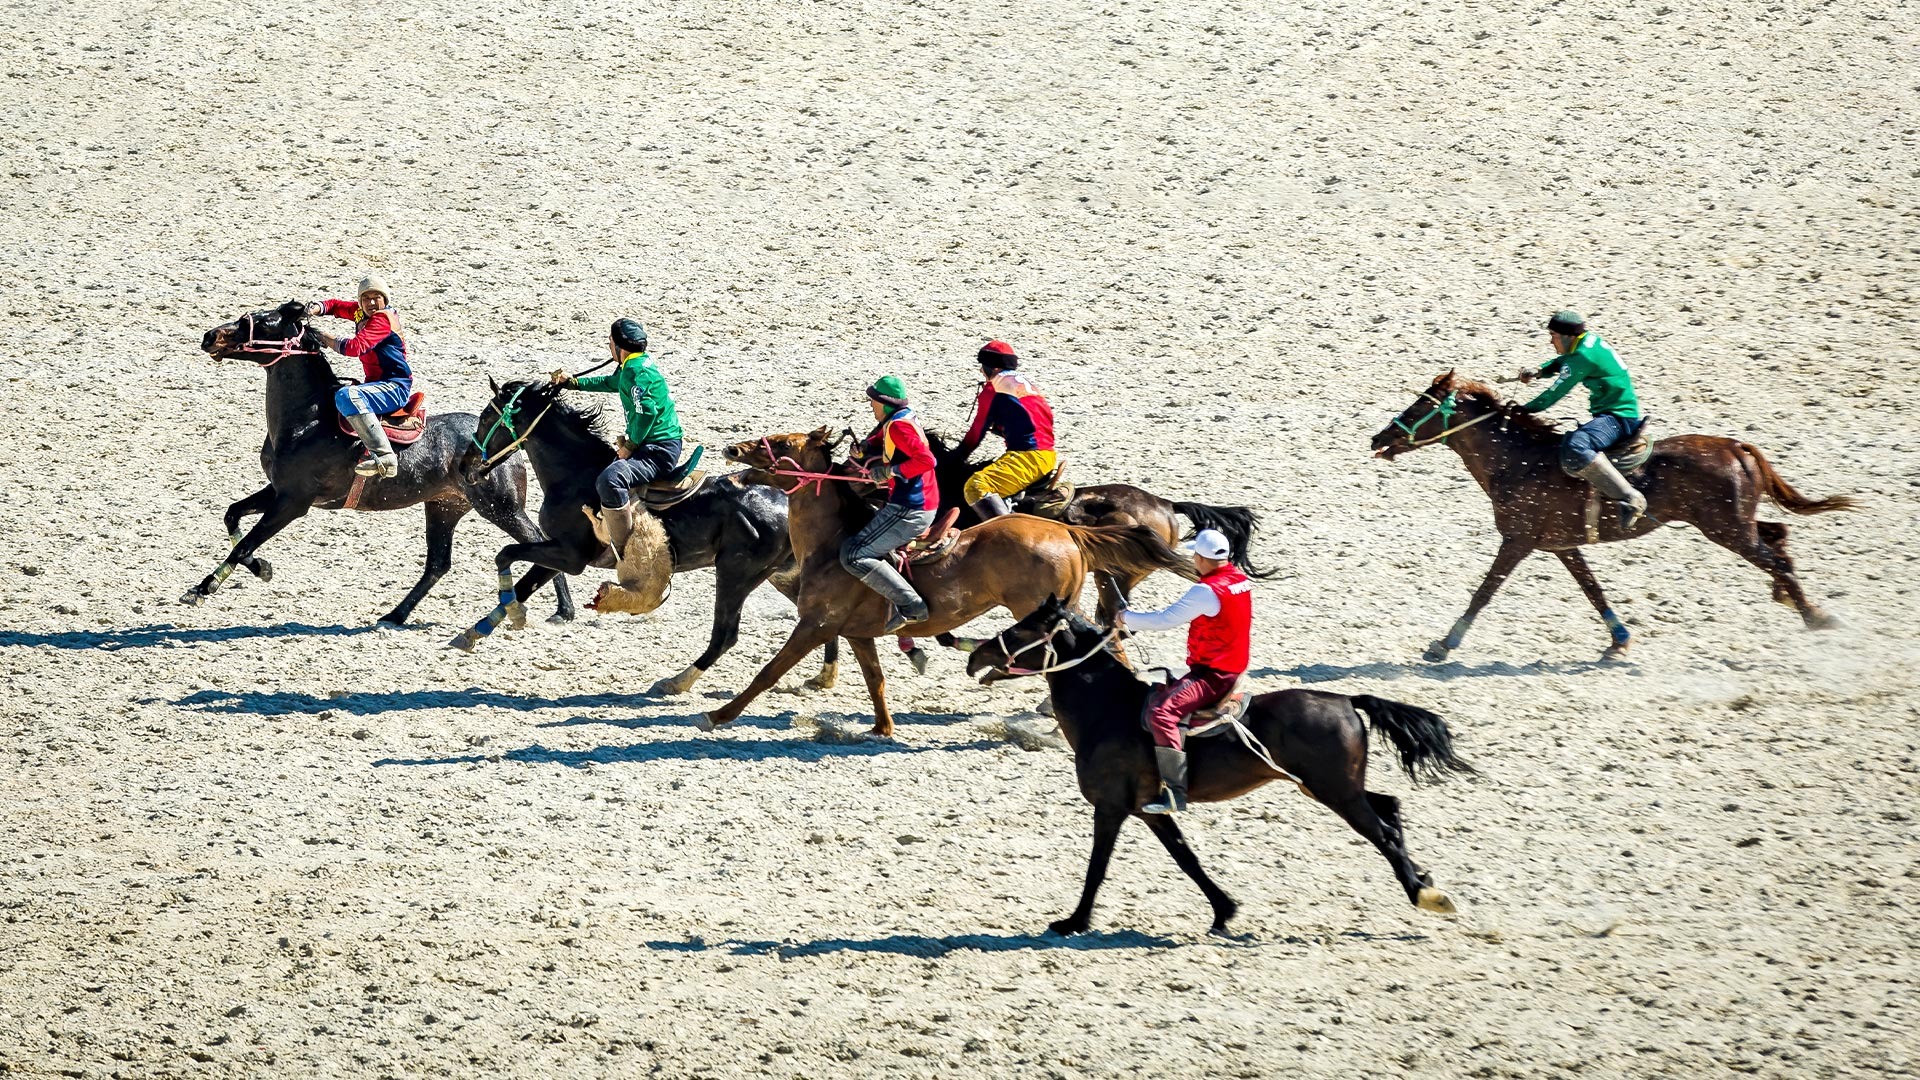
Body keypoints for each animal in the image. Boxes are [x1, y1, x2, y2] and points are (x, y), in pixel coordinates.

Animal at [191, 299, 572, 622]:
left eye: (258, 321)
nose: (210, 336)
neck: (308, 420)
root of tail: (509, 445)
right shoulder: (277, 490)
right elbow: (233, 517)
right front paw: (261, 568)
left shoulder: (294, 501)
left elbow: (246, 543)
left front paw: (203, 588)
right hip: (445, 507)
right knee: (438, 564)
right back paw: (395, 615)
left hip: (502, 508)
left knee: (537, 540)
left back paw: (564, 610)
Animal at [456, 378, 840, 691]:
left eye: (486, 418)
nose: (464, 466)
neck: (576, 476)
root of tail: (786, 502)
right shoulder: (557, 553)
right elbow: (524, 582)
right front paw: (473, 632)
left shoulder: (568, 555)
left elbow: (505, 554)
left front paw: (513, 614)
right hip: (784, 574)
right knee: (820, 617)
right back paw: (824, 676)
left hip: (735, 574)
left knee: (726, 635)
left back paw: (676, 682)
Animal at [698, 424, 1190, 734]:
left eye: (781, 442)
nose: (733, 451)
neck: (832, 543)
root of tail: (1067, 530)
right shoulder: (857, 633)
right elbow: (875, 679)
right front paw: (883, 727)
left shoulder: (816, 625)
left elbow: (769, 671)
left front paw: (718, 715)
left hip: (1045, 611)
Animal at [967, 595, 1474, 933]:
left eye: (1021, 629)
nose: (975, 655)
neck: (1107, 709)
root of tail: (1347, 700)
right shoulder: (1150, 809)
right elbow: (1185, 857)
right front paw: (1223, 911)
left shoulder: (1110, 807)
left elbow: (1098, 864)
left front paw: (1074, 921)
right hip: (1330, 787)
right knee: (1389, 807)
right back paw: (1423, 881)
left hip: (1337, 793)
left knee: (1383, 830)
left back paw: (1425, 894)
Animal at [1374, 367, 1850, 657]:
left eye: (1420, 405)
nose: (1379, 439)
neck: (1518, 459)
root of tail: (1736, 446)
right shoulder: (1561, 546)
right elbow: (1592, 589)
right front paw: (1619, 639)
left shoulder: (1518, 541)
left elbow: (1485, 590)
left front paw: (1444, 644)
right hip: (1735, 524)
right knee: (1778, 537)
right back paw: (1790, 599)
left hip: (1727, 529)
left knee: (1776, 557)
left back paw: (1816, 617)